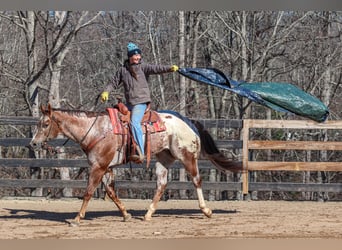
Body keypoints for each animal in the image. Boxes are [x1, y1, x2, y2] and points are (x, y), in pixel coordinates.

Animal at [30, 102, 242, 226]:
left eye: (45, 123)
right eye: (39, 123)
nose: (33, 143)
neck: (96, 130)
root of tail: (188, 122)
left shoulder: (98, 167)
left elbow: (89, 192)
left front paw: (77, 218)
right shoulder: (107, 168)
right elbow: (111, 192)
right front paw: (126, 214)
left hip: (187, 156)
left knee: (196, 180)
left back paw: (206, 210)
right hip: (163, 159)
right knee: (161, 184)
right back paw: (148, 214)